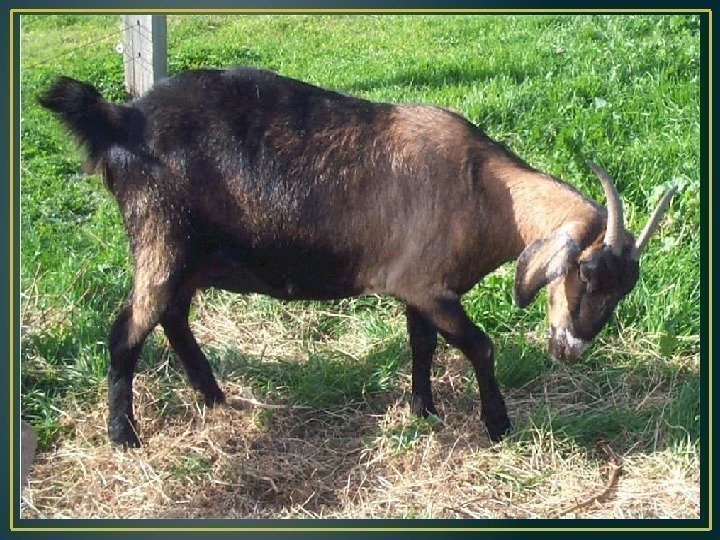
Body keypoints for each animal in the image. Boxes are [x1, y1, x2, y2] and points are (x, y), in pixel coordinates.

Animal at [38, 67, 676, 447]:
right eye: (585, 270)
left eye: (624, 287)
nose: (572, 347)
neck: (483, 188)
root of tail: (121, 119)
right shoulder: (430, 289)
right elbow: (479, 345)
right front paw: (496, 424)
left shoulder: (420, 285)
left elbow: (421, 344)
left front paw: (424, 409)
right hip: (160, 240)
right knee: (126, 332)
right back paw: (124, 435)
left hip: (185, 254)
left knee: (172, 316)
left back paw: (212, 395)